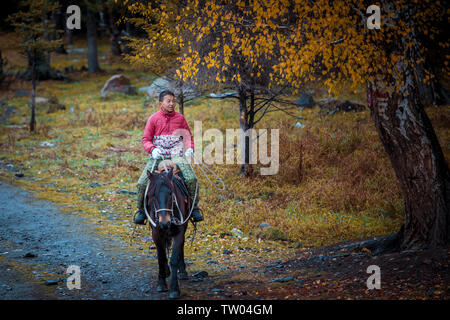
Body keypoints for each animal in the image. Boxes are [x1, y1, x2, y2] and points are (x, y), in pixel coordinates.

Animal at [145, 166, 191, 298]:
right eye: (152, 194)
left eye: (171, 193)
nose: (164, 222)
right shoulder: (156, 233)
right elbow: (161, 257)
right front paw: (161, 284)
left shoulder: (179, 232)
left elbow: (174, 258)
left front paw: (175, 289)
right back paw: (166, 271)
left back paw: (182, 271)